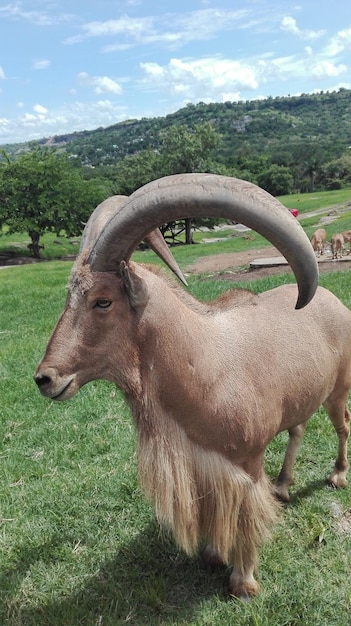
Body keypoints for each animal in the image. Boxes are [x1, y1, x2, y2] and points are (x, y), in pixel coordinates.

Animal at [34, 173, 350, 596]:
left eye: (102, 301)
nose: (45, 378)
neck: (205, 365)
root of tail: (333, 299)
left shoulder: (247, 463)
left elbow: (245, 517)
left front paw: (243, 582)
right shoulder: (203, 465)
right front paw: (213, 555)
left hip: (338, 390)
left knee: (342, 425)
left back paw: (337, 475)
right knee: (297, 429)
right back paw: (283, 486)